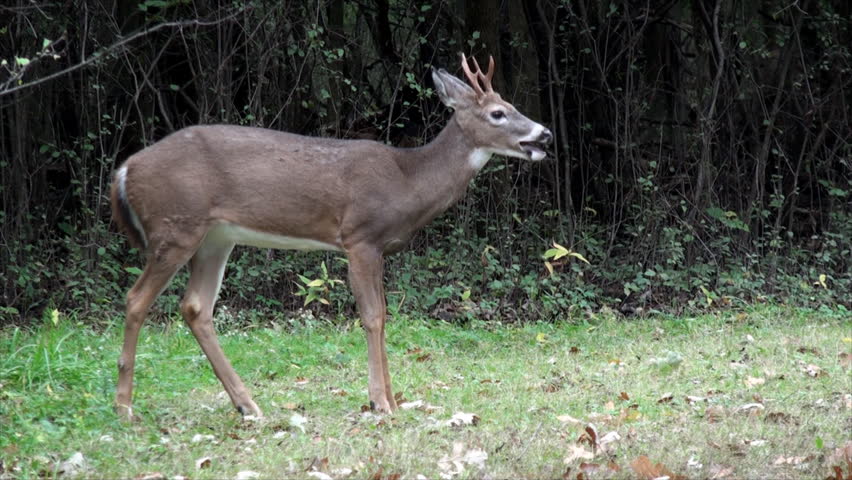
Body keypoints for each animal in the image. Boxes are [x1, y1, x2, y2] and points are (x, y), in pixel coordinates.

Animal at [111, 54, 552, 418]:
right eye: (498, 113)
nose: (545, 134)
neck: (407, 180)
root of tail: (125, 170)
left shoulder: (377, 247)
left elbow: (383, 315)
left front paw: (392, 401)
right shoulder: (359, 237)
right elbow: (372, 317)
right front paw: (380, 403)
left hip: (216, 237)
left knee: (195, 307)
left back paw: (247, 405)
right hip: (176, 226)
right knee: (135, 299)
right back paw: (125, 407)